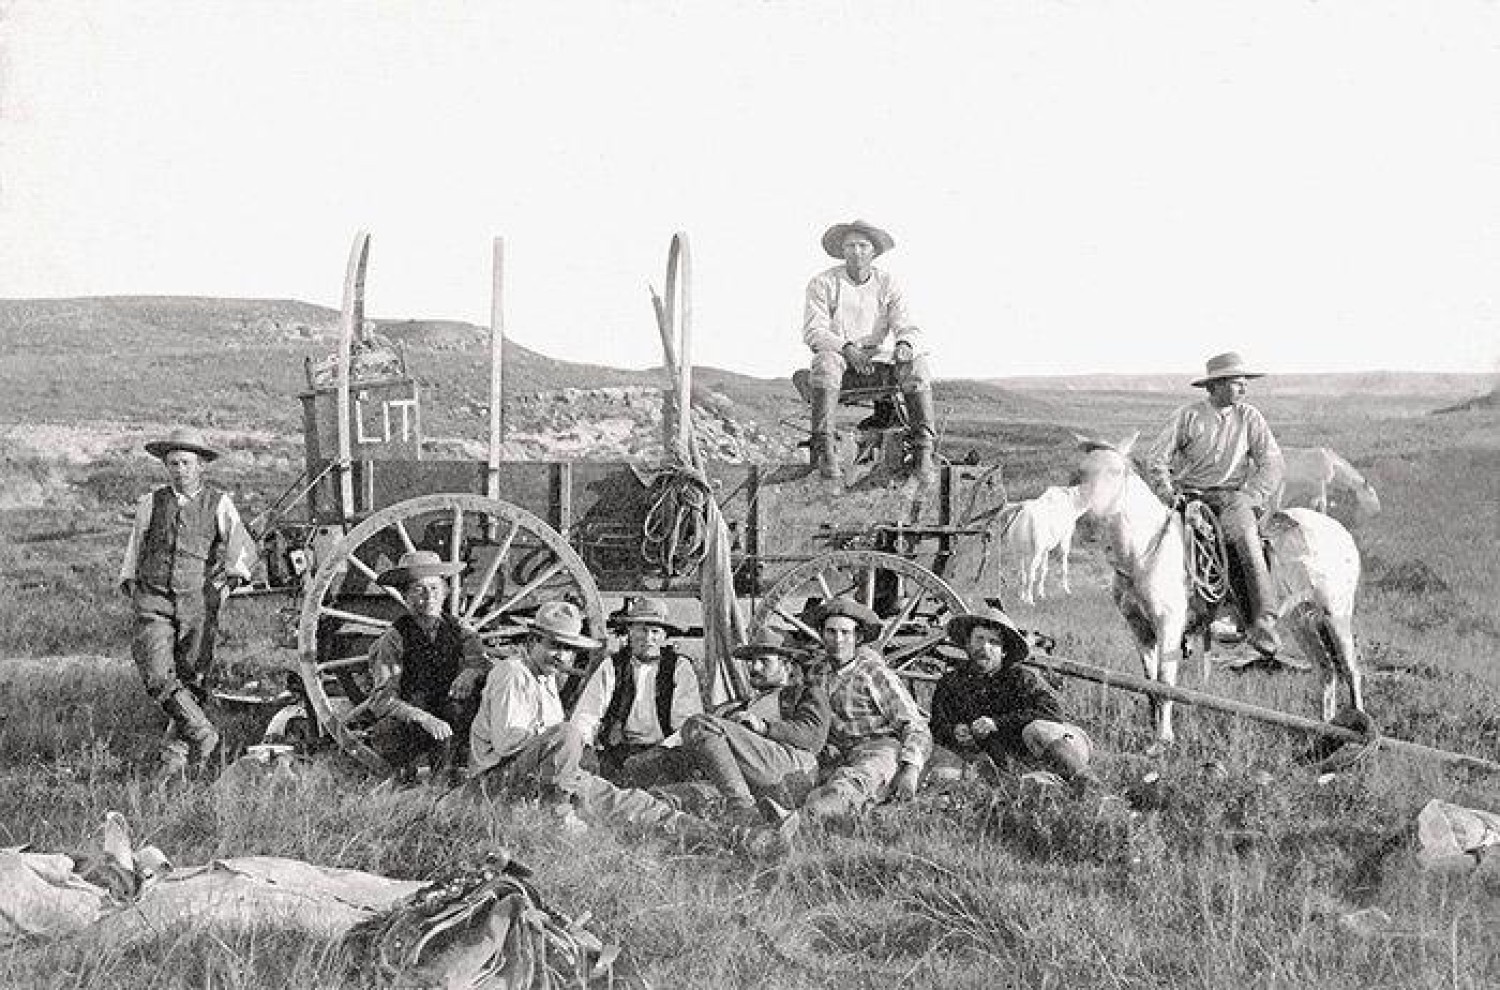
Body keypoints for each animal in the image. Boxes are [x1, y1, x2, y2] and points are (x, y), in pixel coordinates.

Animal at [1074, 434, 1365, 751]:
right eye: (1080, 473)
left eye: (1115, 472)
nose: (1087, 518)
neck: (1143, 552)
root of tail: (1342, 532)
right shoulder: (1139, 628)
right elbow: (1148, 683)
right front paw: (1154, 734)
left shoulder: (1169, 625)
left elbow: (1164, 683)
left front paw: (1163, 740)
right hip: (1301, 620)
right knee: (1326, 670)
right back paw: (1325, 734)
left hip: (1337, 614)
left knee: (1351, 670)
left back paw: (1359, 731)